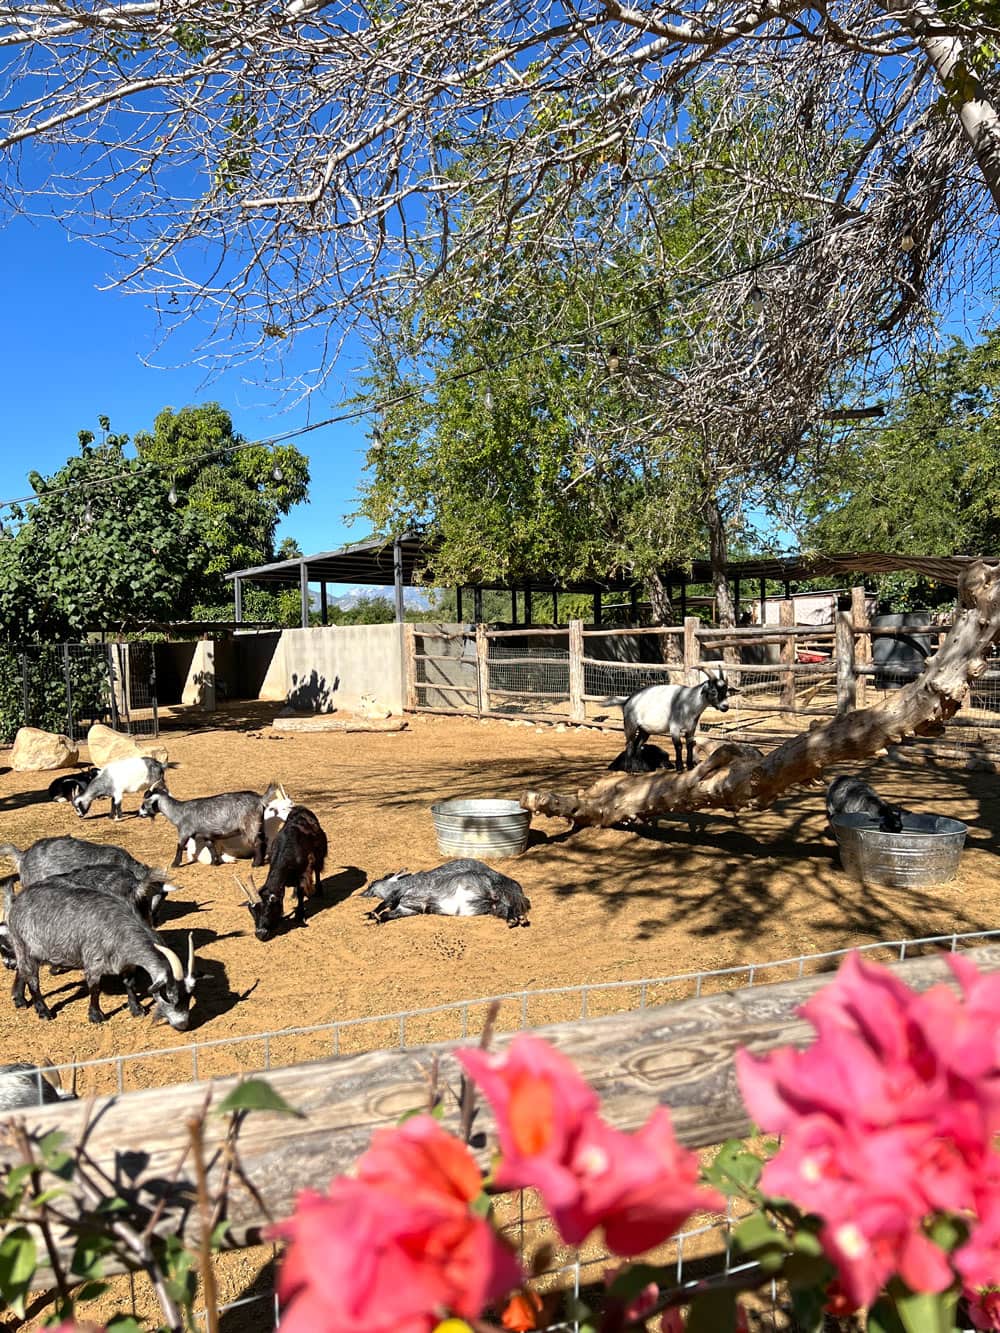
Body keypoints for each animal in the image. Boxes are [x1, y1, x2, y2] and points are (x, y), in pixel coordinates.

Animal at [3, 879, 199, 1028]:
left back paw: (19, 999)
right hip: (23, 944)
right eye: (168, 995)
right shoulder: (93, 960)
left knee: (21, 970)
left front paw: (137, 1009)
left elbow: (129, 983)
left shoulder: (127, 963)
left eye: (189, 996)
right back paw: (43, 1011)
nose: (183, 1024)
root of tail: (17, 899)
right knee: (32, 978)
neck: (120, 930)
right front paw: (96, 1015)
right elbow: (95, 988)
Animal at [139, 782, 267, 868]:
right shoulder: (206, 834)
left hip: (250, 825)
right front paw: (214, 862)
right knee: (264, 840)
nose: (139, 813)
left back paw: (255, 863)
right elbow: (210, 846)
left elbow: (179, 845)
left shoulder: (184, 831)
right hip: (259, 824)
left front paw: (174, 864)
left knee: (257, 842)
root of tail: (260, 799)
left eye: (144, 804)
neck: (178, 811)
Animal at [237, 806, 328, 940]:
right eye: (252, 913)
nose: (260, 934)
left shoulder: (302, 872)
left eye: (268, 910)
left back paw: (319, 891)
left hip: (319, 854)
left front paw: (299, 915)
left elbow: (301, 891)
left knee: (317, 870)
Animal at [362, 860, 531, 926]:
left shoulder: (401, 890)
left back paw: (516, 919)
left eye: (372, 883)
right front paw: (377, 919)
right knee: (506, 908)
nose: (362, 893)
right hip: (495, 907)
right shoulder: (407, 909)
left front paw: (371, 914)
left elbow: (384, 903)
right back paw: (517, 919)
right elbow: (388, 913)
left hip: (495, 892)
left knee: (508, 903)